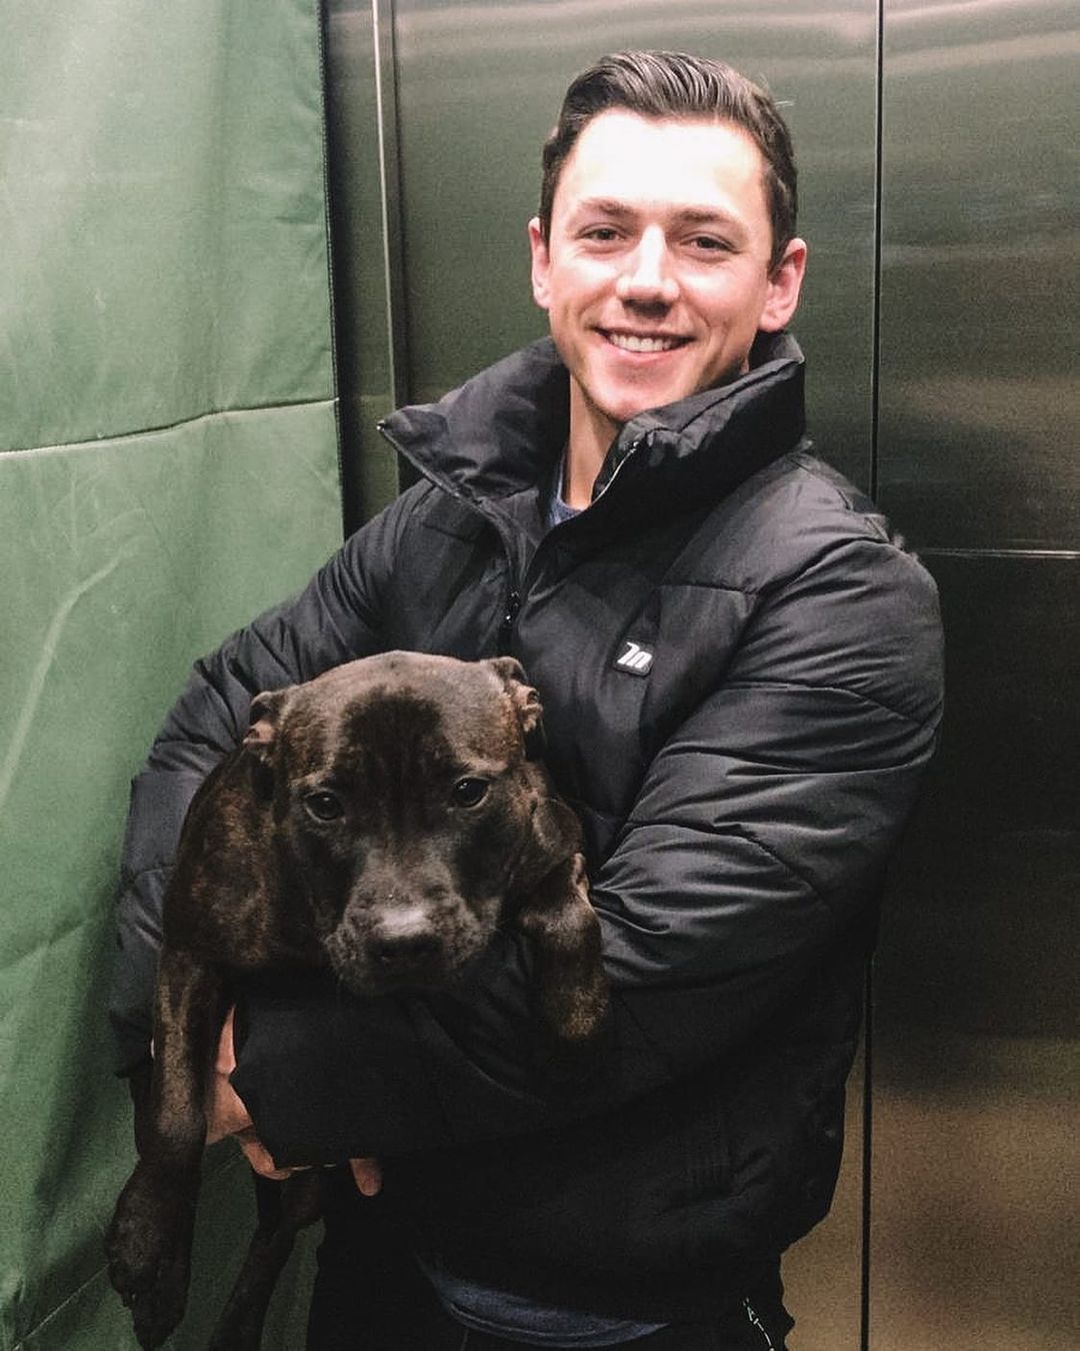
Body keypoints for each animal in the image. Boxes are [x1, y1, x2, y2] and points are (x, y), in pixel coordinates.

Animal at [103, 648, 608, 1345]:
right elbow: (176, 1113)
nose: (404, 941)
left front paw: (577, 1013)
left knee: (280, 1225)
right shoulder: (188, 952)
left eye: (468, 792)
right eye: (325, 804)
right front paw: (148, 1239)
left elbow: (568, 913)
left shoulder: (554, 835)